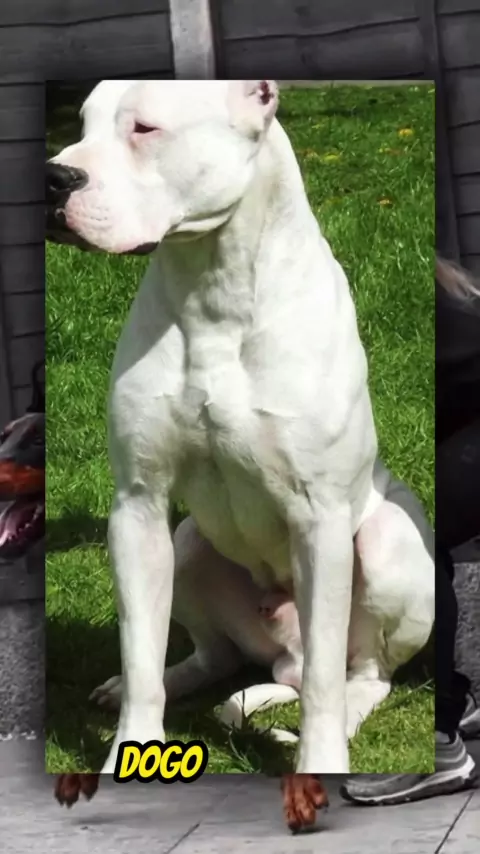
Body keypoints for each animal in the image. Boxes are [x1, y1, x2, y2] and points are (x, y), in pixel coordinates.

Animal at [47, 80, 434, 830]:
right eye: (80, 124)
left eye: (144, 128)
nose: (53, 176)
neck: (213, 287)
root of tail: (278, 660)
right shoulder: (138, 506)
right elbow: (141, 652)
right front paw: (130, 752)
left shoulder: (320, 520)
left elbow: (324, 683)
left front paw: (320, 762)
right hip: (189, 541)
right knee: (215, 655)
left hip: (387, 544)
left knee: (358, 675)